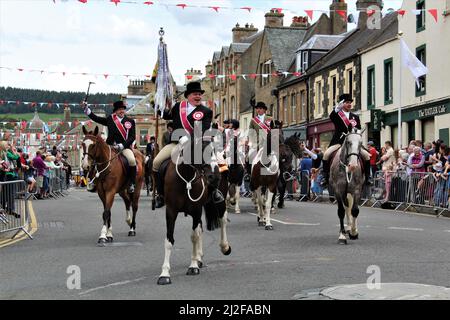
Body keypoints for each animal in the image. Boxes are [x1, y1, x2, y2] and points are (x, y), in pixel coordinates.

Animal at [156, 138, 230, 284]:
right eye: (201, 150)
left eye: (215, 150)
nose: (215, 176)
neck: (186, 179)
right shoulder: (171, 211)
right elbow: (169, 240)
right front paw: (165, 274)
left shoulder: (196, 210)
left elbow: (194, 237)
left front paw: (193, 266)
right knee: (200, 228)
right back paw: (199, 257)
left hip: (220, 201)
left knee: (222, 219)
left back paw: (224, 247)